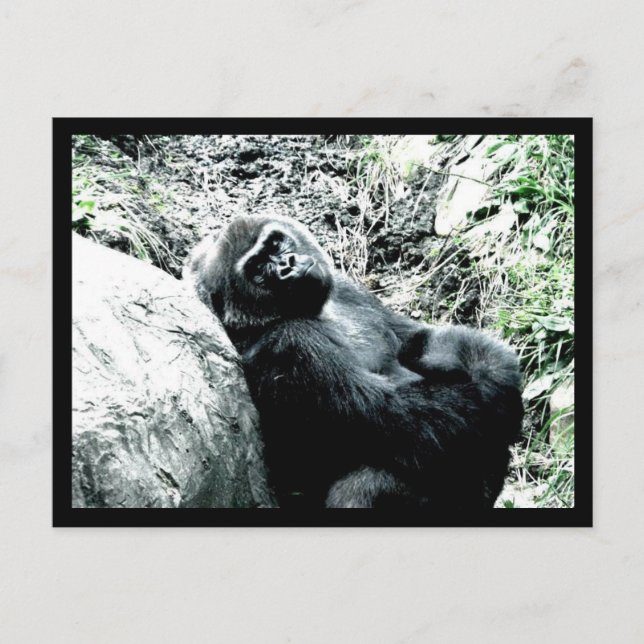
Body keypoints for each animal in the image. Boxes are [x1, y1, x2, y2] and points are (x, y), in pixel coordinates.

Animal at [184, 215, 523, 510]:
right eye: (256, 271)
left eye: (275, 244)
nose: (286, 265)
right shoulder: (292, 345)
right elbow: (397, 413)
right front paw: (489, 392)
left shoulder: (346, 286)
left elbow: (415, 342)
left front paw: (492, 367)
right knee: (362, 487)